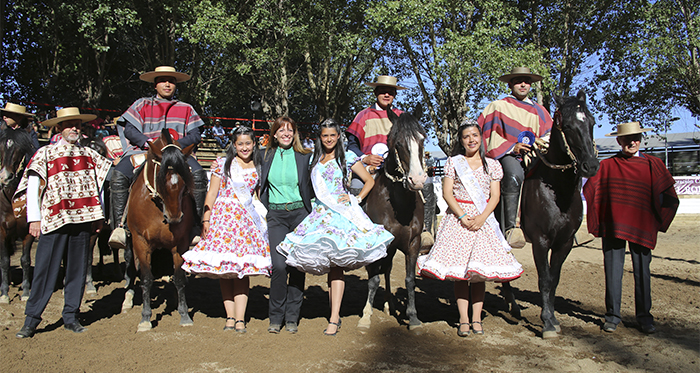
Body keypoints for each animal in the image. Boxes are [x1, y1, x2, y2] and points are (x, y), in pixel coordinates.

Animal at [121, 129, 196, 332]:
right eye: (160, 180)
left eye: (185, 184)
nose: (175, 218)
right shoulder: (140, 242)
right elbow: (146, 278)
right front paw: (145, 318)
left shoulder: (180, 243)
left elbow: (179, 278)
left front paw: (184, 314)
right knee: (130, 264)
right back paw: (128, 298)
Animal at [358, 106, 430, 330]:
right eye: (398, 143)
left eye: (422, 139)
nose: (417, 180)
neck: (399, 206)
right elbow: (373, 279)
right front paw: (366, 316)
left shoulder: (413, 243)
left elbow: (409, 279)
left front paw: (413, 317)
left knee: (387, 269)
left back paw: (389, 304)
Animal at [524, 89, 600, 338]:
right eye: (567, 125)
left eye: (592, 122)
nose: (591, 166)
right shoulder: (540, 241)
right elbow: (544, 280)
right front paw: (547, 323)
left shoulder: (564, 242)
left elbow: (555, 280)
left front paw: (555, 319)